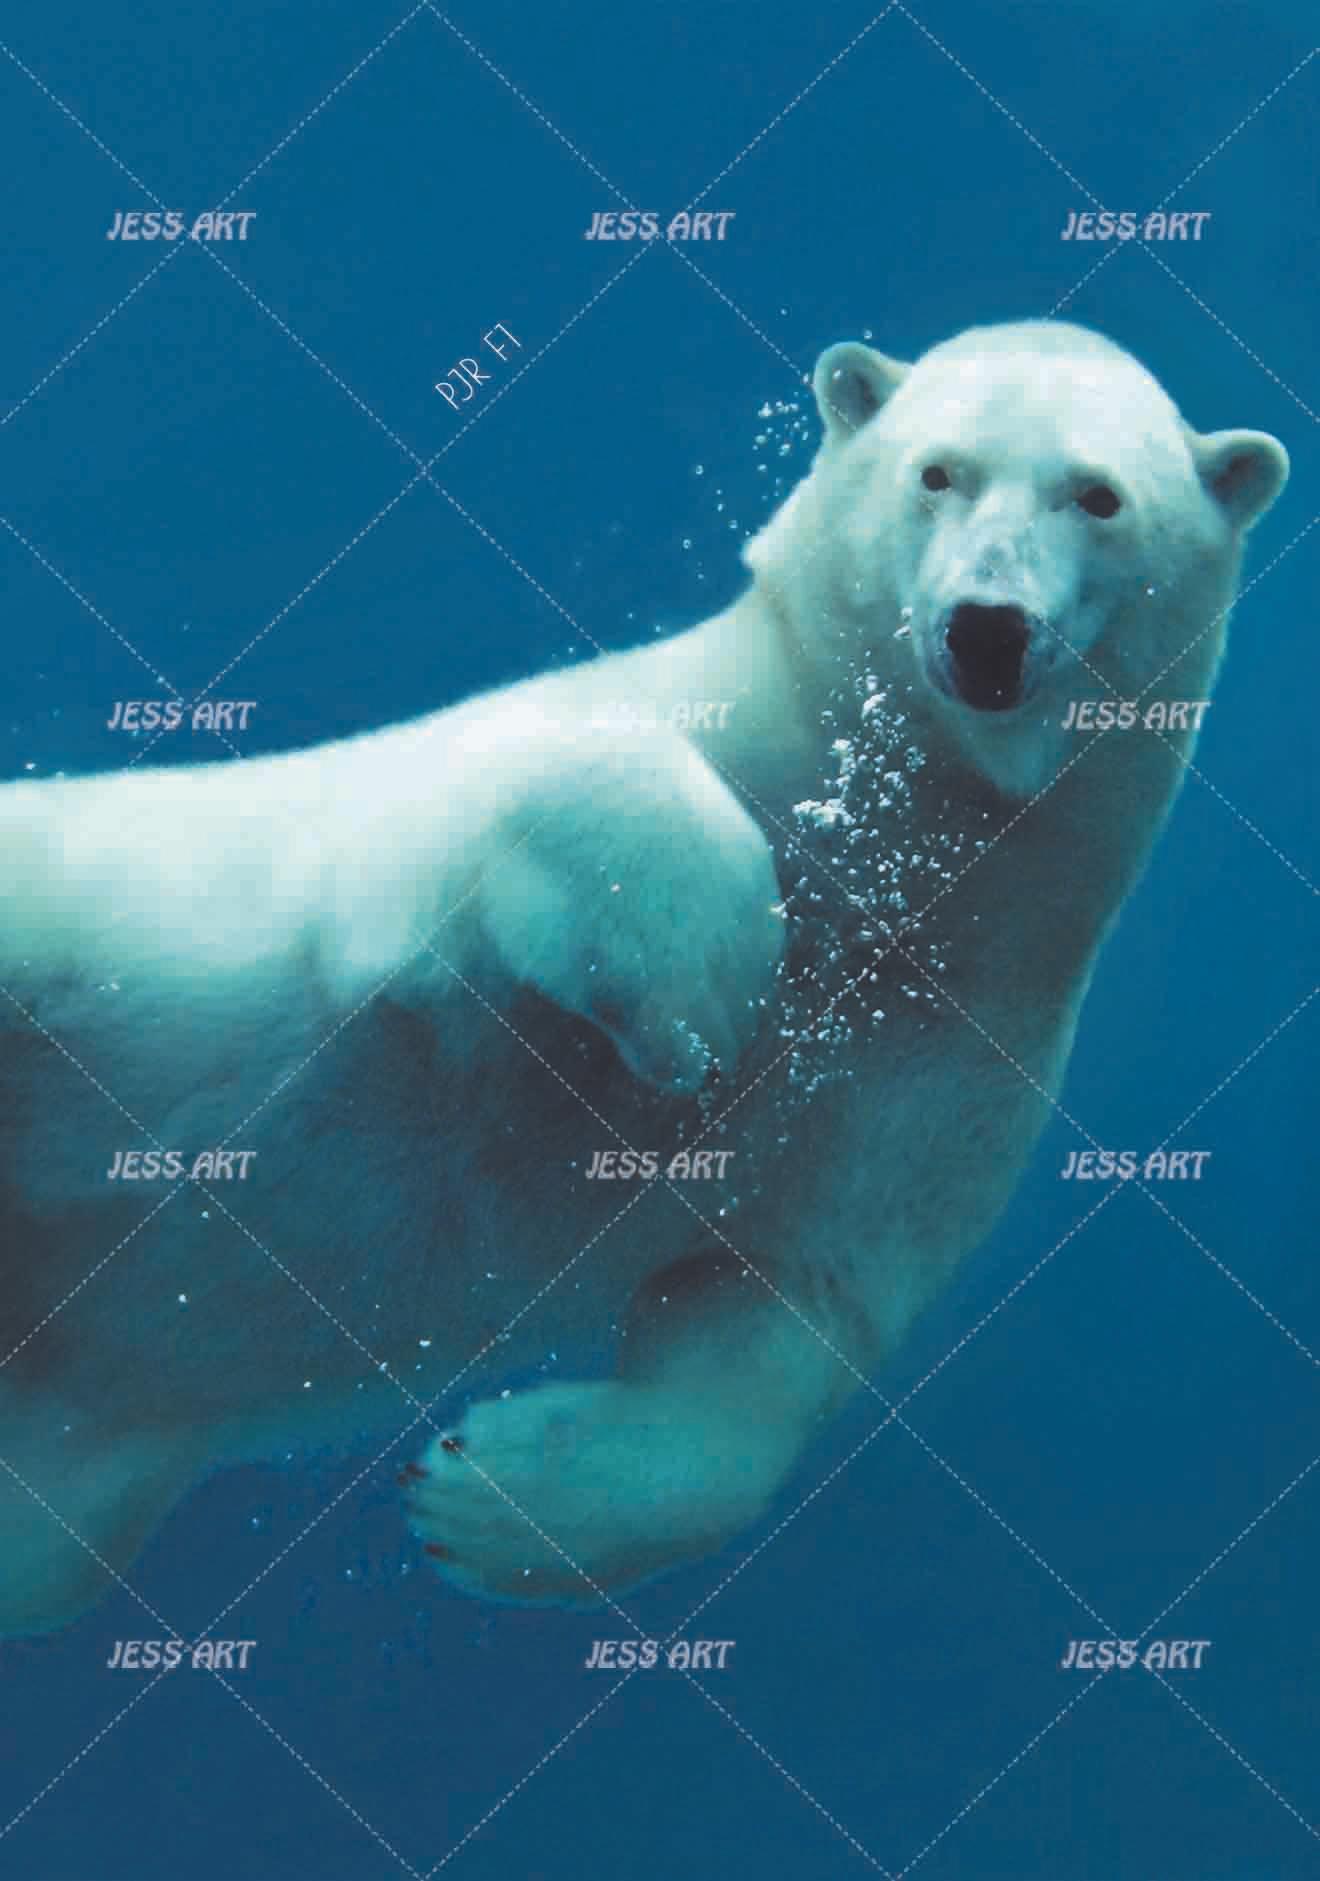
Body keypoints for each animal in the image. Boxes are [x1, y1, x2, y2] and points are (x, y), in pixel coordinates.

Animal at [0, 320, 1288, 1634]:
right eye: (939, 471)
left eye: (1099, 496)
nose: (986, 627)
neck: (896, 844)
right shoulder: (445, 830)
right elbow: (527, 789)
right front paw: (706, 996)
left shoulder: (959, 1042)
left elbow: (777, 1315)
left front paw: (483, 1497)